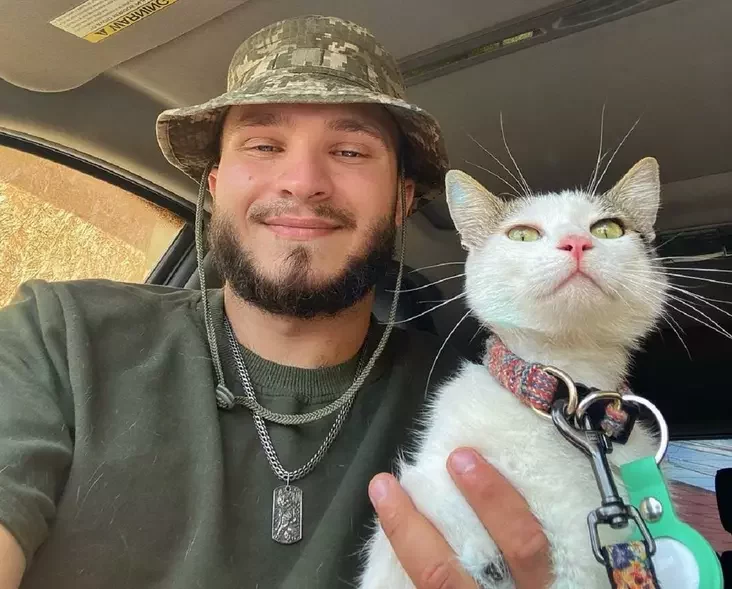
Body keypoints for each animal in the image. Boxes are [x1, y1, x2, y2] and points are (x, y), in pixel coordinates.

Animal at [358, 157, 668, 588]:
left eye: (608, 229)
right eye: (522, 234)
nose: (576, 242)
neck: (566, 403)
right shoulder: (429, 476)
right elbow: (431, 502)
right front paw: (482, 556)